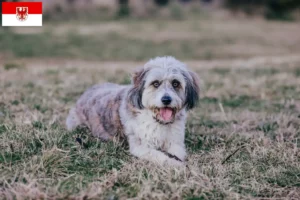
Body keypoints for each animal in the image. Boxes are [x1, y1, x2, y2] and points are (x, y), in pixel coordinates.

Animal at [67, 55, 200, 166]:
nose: (166, 99)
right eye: (155, 83)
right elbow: (159, 156)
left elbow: (178, 153)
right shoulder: (140, 146)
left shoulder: (175, 142)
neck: (158, 121)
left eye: (175, 83)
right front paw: (175, 164)